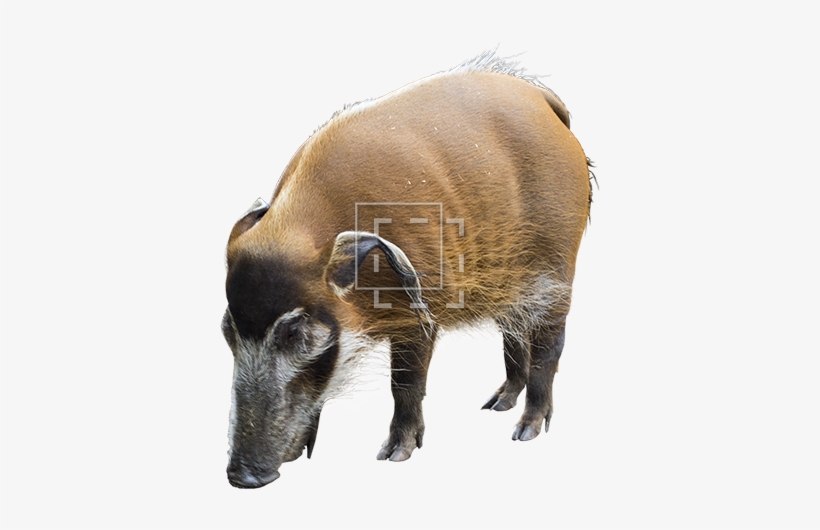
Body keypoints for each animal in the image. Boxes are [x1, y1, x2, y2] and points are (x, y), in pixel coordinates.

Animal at [221, 51, 593, 488]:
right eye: (227, 330)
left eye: (293, 331)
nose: (241, 477)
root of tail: (544, 101)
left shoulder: (420, 314)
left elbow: (405, 383)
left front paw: (393, 455)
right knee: (513, 334)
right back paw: (494, 404)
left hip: (557, 268)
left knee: (550, 344)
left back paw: (525, 430)